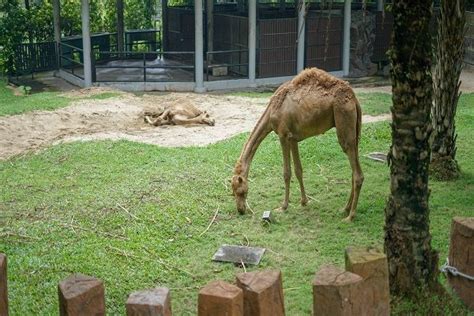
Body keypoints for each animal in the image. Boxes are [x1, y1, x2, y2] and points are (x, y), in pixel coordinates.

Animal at [231, 68, 364, 222]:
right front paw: (304, 201)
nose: (240, 210)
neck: (271, 112)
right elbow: (298, 170)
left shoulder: (283, 135)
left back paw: (350, 216)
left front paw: (283, 207)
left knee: (356, 172)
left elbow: (286, 173)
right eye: (232, 192)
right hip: (354, 131)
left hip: (343, 120)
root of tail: (354, 99)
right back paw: (345, 209)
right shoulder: (293, 138)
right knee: (354, 167)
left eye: (241, 191)